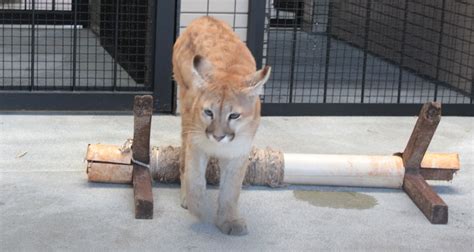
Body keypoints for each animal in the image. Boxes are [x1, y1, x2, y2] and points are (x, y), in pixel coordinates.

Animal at [173, 16, 270, 235]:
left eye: (234, 115)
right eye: (209, 112)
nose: (218, 136)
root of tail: (206, 17)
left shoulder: (238, 152)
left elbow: (230, 190)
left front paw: (229, 221)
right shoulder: (196, 143)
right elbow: (195, 178)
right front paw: (197, 207)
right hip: (185, 111)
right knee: (183, 160)